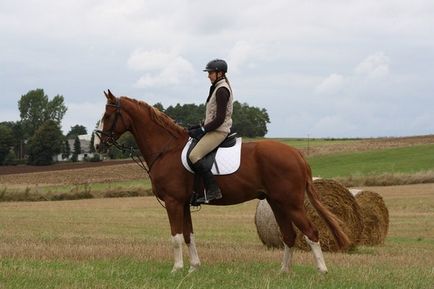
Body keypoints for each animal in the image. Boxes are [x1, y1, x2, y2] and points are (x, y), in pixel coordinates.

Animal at [95, 89, 350, 272]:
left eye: (107, 116)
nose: (98, 145)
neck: (166, 149)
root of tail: (296, 153)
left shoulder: (173, 202)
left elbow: (176, 237)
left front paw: (177, 269)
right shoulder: (184, 204)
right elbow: (189, 235)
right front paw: (194, 268)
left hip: (291, 203)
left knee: (311, 232)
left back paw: (322, 271)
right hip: (276, 203)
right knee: (289, 236)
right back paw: (283, 272)